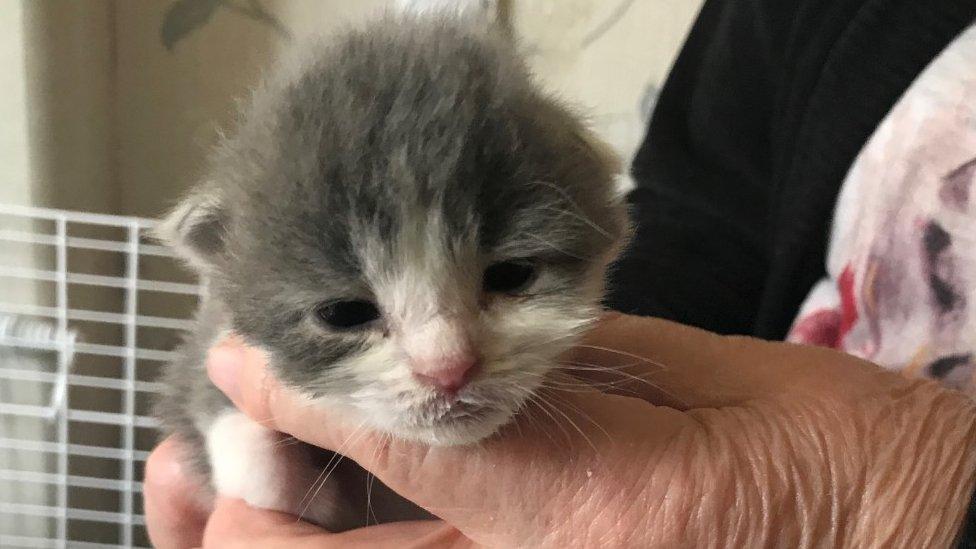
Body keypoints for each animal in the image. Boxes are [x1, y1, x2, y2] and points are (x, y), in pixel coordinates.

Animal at [152, 13, 624, 532]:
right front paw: (319, 498)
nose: (447, 369)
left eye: (513, 274)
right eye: (343, 313)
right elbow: (239, 440)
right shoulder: (207, 355)